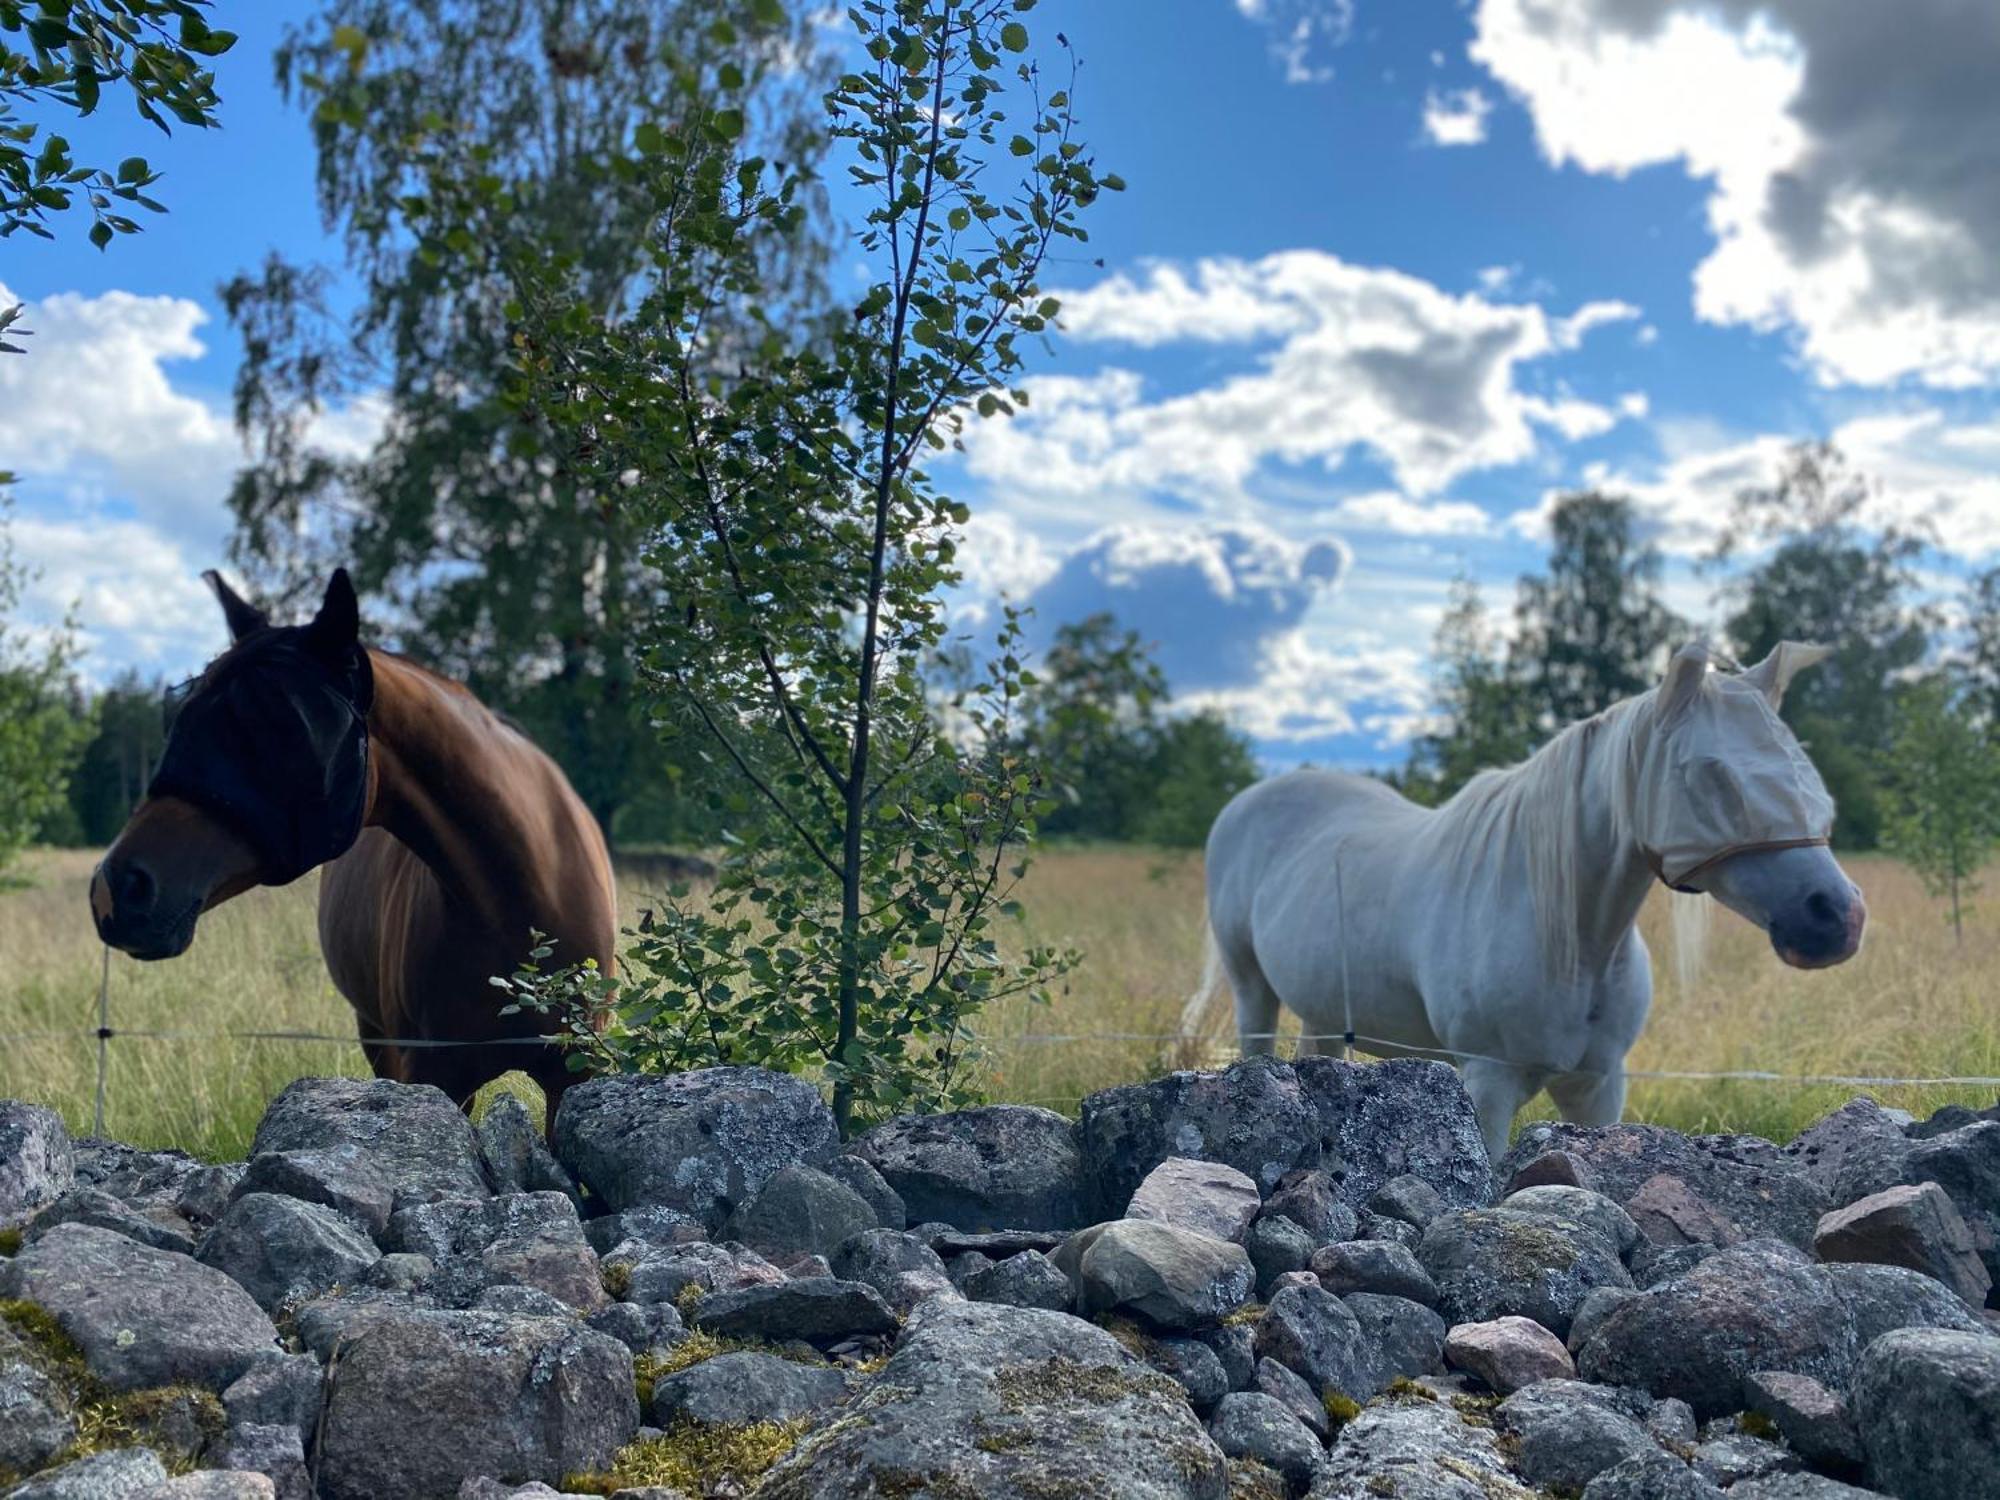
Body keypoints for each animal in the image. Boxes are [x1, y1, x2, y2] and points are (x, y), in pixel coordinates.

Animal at [1176, 640, 1864, 1160]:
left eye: (1802, 768)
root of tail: (1246, 803)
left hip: (1322, 1009)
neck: (1573, 938)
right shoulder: (1488, 1082)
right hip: (1250, 987)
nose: (1837, 917)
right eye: (1711, 774)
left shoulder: (1599, 1086)